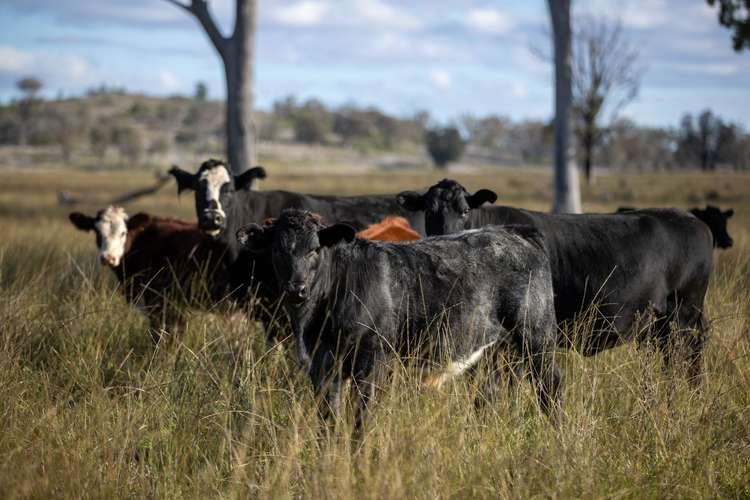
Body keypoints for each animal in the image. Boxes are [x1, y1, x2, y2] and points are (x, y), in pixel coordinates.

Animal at [238, 209, 560, 424]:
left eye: (315, 248)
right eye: (278, 249)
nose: (296, 289)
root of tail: (515, 232)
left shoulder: (371, 361)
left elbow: (361, 419)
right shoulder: (323, 366)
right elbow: (328, 421)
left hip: (538, 338)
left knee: (550, 387)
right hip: (495, 351)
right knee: (491, 393)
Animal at [402, 178, 712, 376]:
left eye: (465, 210)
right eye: (428, 211)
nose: (444, 236)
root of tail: (693, 220)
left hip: (682, 316)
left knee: (680, 364)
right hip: (659, 326)